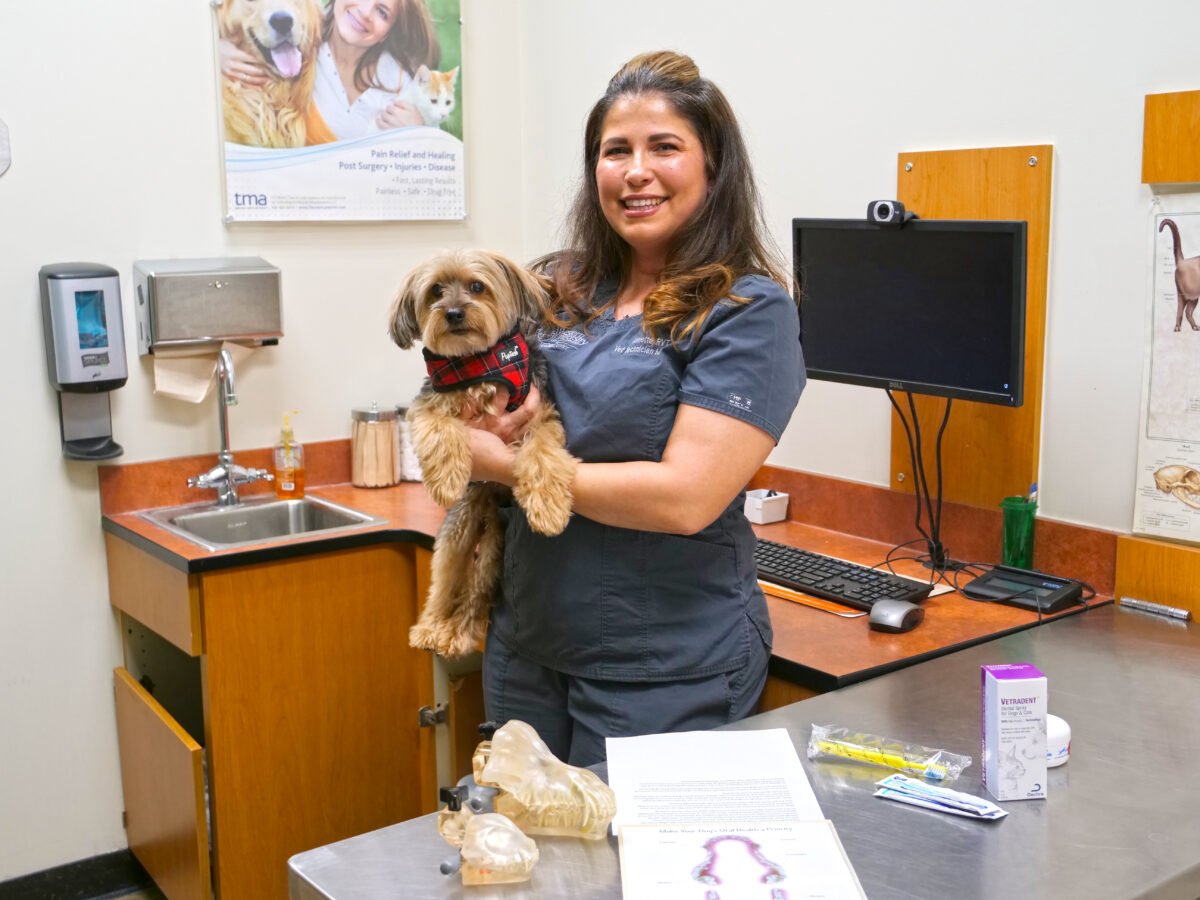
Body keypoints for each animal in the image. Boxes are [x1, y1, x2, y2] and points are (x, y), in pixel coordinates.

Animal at [384, 250, 571, 657]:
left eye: (476, 286)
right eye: (436, 291)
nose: (453, 313)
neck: (477, 361)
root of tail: (490, 505)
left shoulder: (539, 413)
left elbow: (544, 453)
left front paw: (549, 507)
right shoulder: (429, 405)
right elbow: (440, 429)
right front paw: (445, 480)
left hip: (493, 544)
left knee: (478, 589)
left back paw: (461, 633)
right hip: (459, 526)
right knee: (445, 579)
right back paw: (433, 628)